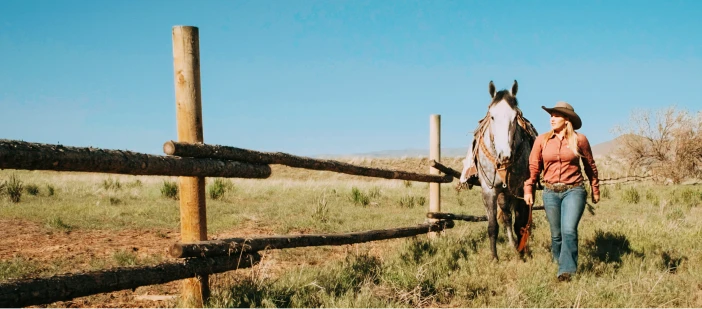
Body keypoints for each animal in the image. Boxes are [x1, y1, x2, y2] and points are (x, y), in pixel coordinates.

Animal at [462, 80, 540, 260]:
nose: (504, 155)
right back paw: (512, 244)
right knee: (506, 216)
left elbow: (520, 223)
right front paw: (494, 258)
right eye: (492, 116)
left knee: (523, 219)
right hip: (503, 193)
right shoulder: (489, 190)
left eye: (515, 117)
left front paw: (521, 254)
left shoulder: (519, 189)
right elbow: (493, 226)